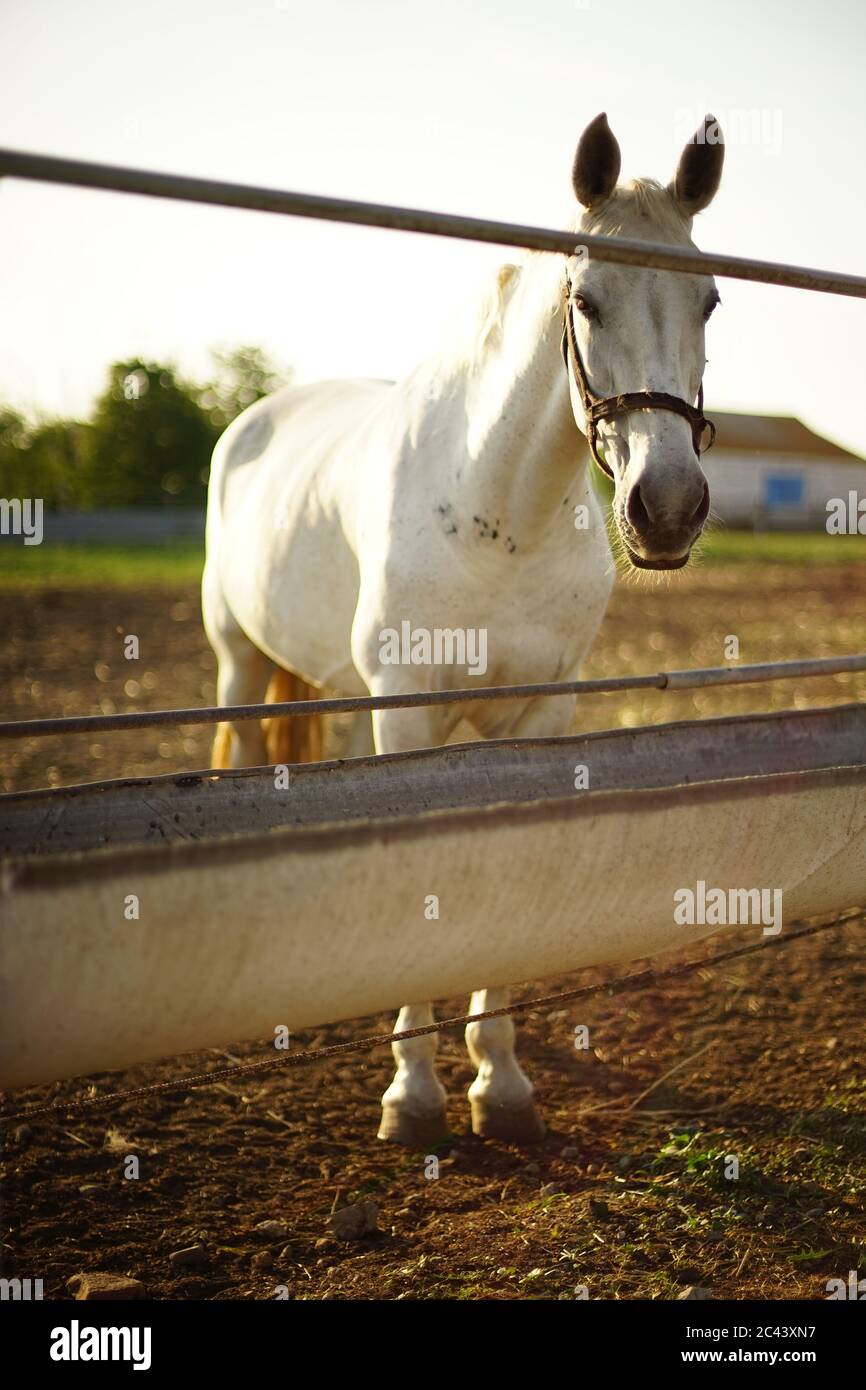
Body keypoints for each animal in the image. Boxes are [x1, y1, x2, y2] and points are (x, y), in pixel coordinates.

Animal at [201, 112, 725, 1146]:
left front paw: (501, 1081)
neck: (500, 514)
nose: (668, 508)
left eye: (713, 302)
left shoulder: (543, 714)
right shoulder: (406, 711)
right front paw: (413, 1092)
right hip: (239, 663)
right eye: (586, 299)